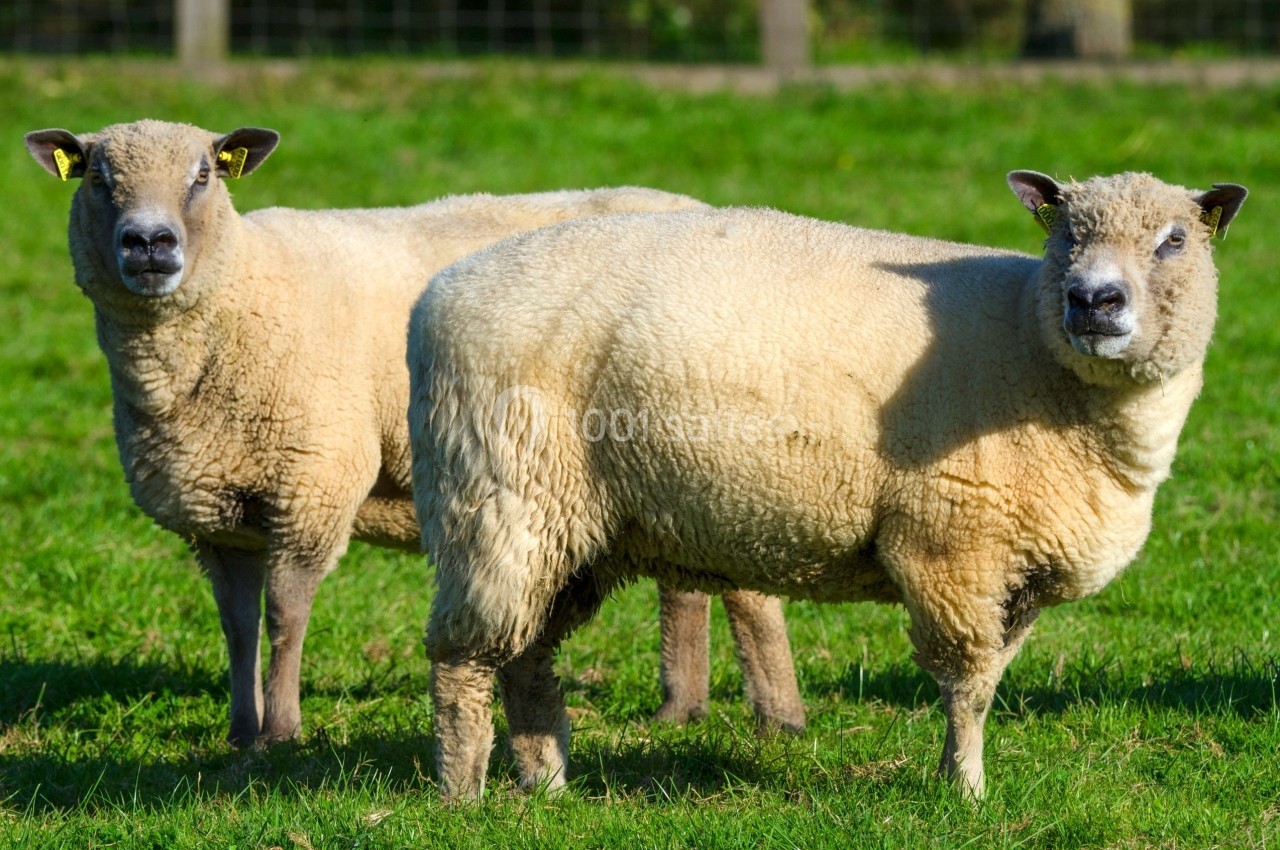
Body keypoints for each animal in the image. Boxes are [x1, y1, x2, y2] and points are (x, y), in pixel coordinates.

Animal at [23, 119, 803, 748]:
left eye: (204, 175)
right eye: (97, 177)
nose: (149, 244)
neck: (242, 287)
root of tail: (699, 209)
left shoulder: (314, 483)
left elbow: (284, 615)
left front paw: (283, 731)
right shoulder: (216, 515)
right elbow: (238, 624)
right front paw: (240, 732)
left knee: (745, 591)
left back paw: (777, 718)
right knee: (687, 586)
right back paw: (682, 710)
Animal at [408, 169, 1247, 800]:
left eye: (1174, 240)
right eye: (1063, 234)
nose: (1094, 300)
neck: (1036, 350)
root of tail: (437, 298)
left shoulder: (1019, 569)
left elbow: (991, 679)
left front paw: (954, 777)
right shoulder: (950, 547)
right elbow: (967, 684)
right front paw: (966, 793)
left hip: (572, 532)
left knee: (527, 656)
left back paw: (545, 784)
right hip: (497, 501)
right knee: (463, 658)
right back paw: (464, 793)